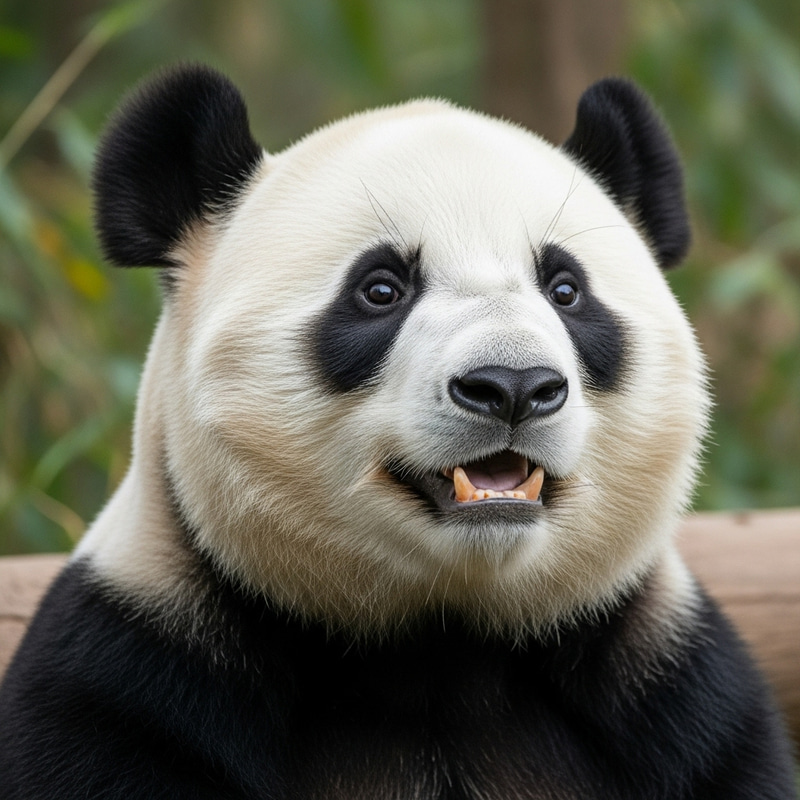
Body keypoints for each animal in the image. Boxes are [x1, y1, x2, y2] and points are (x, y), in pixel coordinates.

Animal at [0, 64, 795, 799]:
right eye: (380, 289)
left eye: (566, 290)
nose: (513, 387)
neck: (437, 644)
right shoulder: (136, 682)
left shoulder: (675, 706)